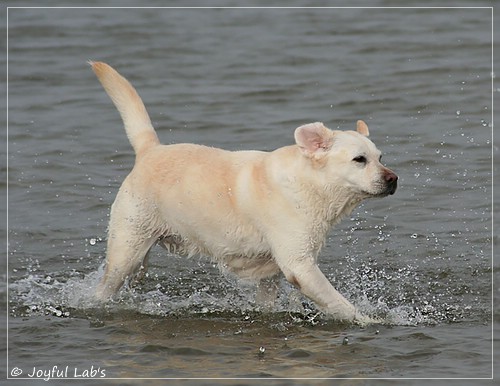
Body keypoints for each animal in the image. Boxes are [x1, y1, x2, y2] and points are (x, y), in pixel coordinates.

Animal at [88, 61, 396, 324]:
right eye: (359, 160)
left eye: (380, 157)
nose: (394, 179)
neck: (310, 184)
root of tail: (150, 149)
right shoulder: (300, 266)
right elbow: (339, 303)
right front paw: (371, 320)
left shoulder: (271, 273)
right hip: (125, 250)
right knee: (106, 285)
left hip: (141, 258)